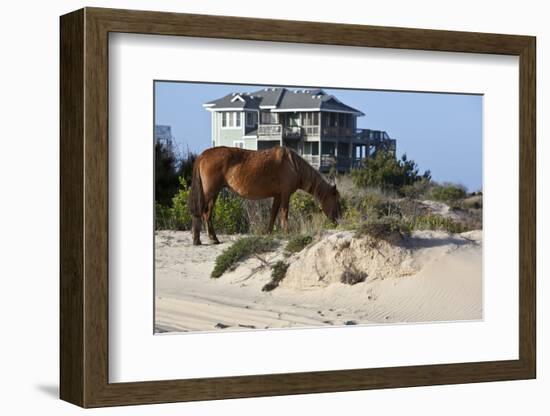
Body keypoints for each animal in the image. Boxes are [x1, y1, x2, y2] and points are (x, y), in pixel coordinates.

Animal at [192, 145, 342, 245]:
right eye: (336, 200)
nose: (338, 219)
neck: (293, 164)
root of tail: (203, 155)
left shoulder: (278, 196)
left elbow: (273, 214)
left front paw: (268, 233)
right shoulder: (285, 194)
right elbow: (284, 213)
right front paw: (287, 232)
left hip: (214, 193)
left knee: (206, 213)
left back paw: (212, 238)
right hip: (210, 192)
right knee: (202, 213)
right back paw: (200, 239)